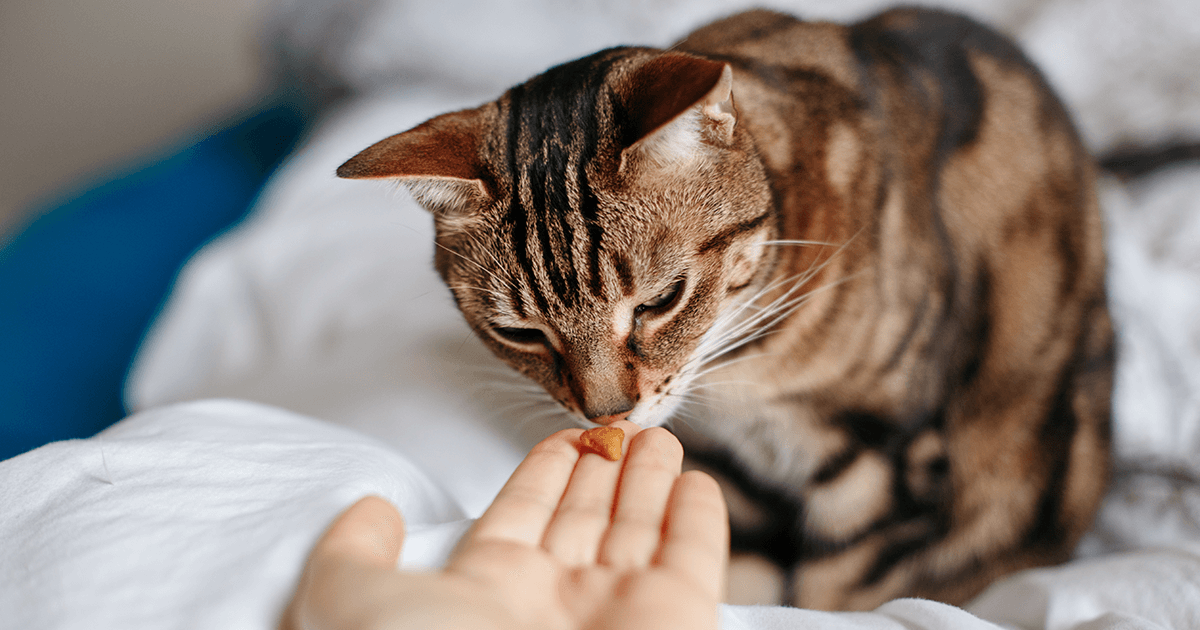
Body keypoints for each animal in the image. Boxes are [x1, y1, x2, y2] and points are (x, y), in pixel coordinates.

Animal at [336, 6, 1113, 609]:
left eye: (660, 300)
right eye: (518, 332)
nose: (607, 414)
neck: (743, 376)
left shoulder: (884, 467)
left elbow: (833, 596)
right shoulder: (730, 476)